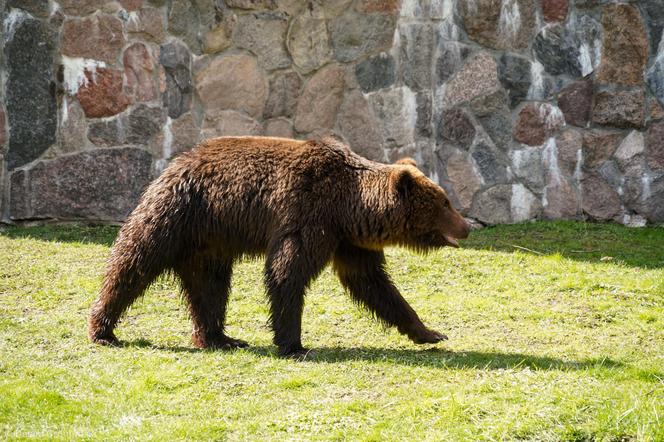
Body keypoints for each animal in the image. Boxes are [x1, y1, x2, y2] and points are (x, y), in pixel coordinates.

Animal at [88, 136, 470, 358]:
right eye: (445, 202)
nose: (466, 227)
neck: (348, 206)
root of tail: (173, 163)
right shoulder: (307, 213)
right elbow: (287, 272)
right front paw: (293, 344)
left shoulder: (348, 241)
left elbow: (374, 284)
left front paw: (429, 332)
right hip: (179, 216)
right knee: (133, 264)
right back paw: (103, 329)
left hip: (210, 244)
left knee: (210, 288)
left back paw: (220, 338)